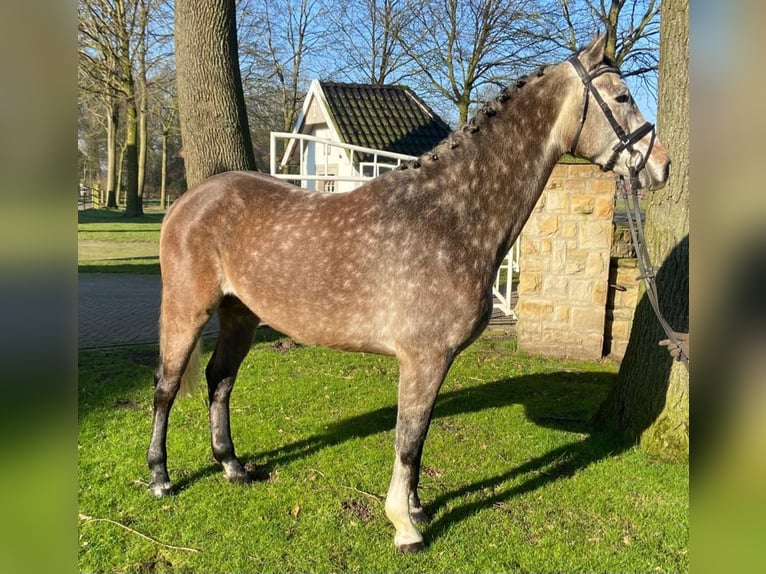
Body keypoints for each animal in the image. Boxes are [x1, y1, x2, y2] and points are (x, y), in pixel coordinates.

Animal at [148, 35, 672, 552]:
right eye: (622, 97)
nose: (662, 165)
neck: (450, 216)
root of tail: (189, 200)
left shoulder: (435, 360)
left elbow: (419, 438)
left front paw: (417, 508)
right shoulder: (424, 357)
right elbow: (408, 438)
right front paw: (405, 527)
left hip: (240, 315)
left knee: (219, 381)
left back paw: (232, 466)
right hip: (187, 310)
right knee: (167, 387)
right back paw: (160, 477)